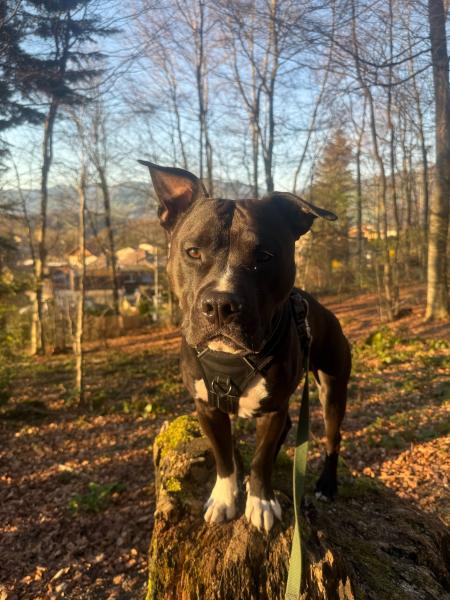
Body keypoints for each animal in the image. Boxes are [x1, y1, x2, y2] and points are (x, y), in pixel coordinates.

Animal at [140, 160, 351, 533]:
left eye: (264, 256)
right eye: (193, 251)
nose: (220, 305)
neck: (230, 360)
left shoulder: (273, 409)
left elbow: (262, 459)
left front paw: (261, 502)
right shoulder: (206, 407)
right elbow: (225, 456)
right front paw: (226, 498)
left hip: (333, 387)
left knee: (332, 435)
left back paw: (327, 484)